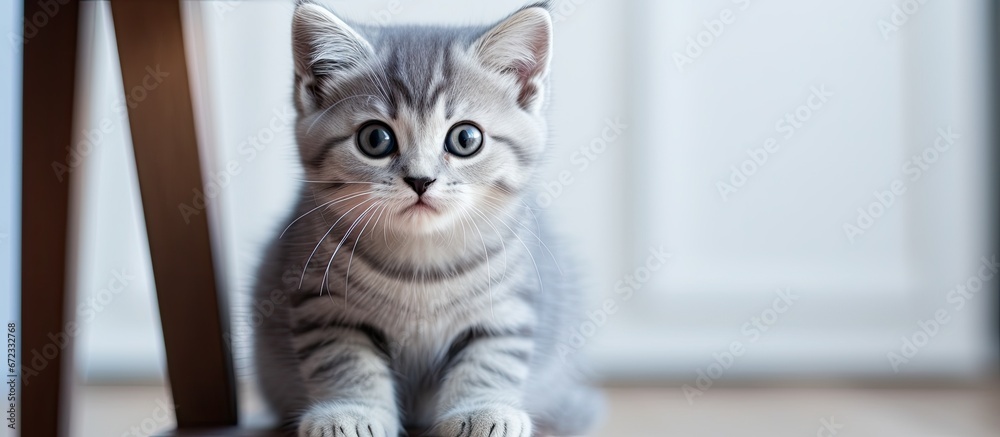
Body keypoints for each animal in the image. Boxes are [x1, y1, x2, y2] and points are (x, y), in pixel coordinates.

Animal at [256, 1, 600, 434]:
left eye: (466, 138)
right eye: (375, 139)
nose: (421, 179)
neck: (421, 263)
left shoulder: (507, 306)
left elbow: (491, 360)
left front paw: (481, 411)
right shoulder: (321, 304)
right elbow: (344, 362)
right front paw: (349, 412)